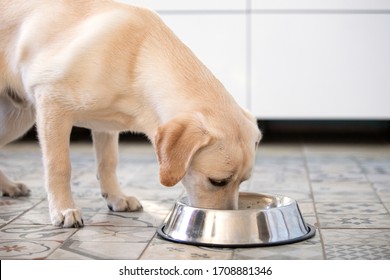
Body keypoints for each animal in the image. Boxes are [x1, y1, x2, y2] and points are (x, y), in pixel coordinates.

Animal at [0, 0, 262, 228]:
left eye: (243, 181)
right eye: (217, 181)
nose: (228, 219)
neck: (137, 60)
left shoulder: (105, 126)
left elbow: (108, 163)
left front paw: (116, 197)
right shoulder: (52, 103)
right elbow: (59, 166)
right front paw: (63, 209)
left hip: (16, 119)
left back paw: (9, 187)